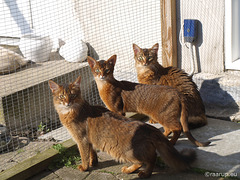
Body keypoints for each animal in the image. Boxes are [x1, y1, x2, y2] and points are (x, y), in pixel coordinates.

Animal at [49, 75, 197, 179]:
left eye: (73, 95)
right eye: (62, 96)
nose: (68, 102)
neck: (73, 112)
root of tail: (150, 129)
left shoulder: (81, 140)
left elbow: (84, 155)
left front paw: (85, 167)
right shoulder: (89, 140)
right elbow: (92, 153)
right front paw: (94, 163)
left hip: (127, 152)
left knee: (149, 159)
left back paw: (137, 172)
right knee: (151, 157)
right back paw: (138, 171)